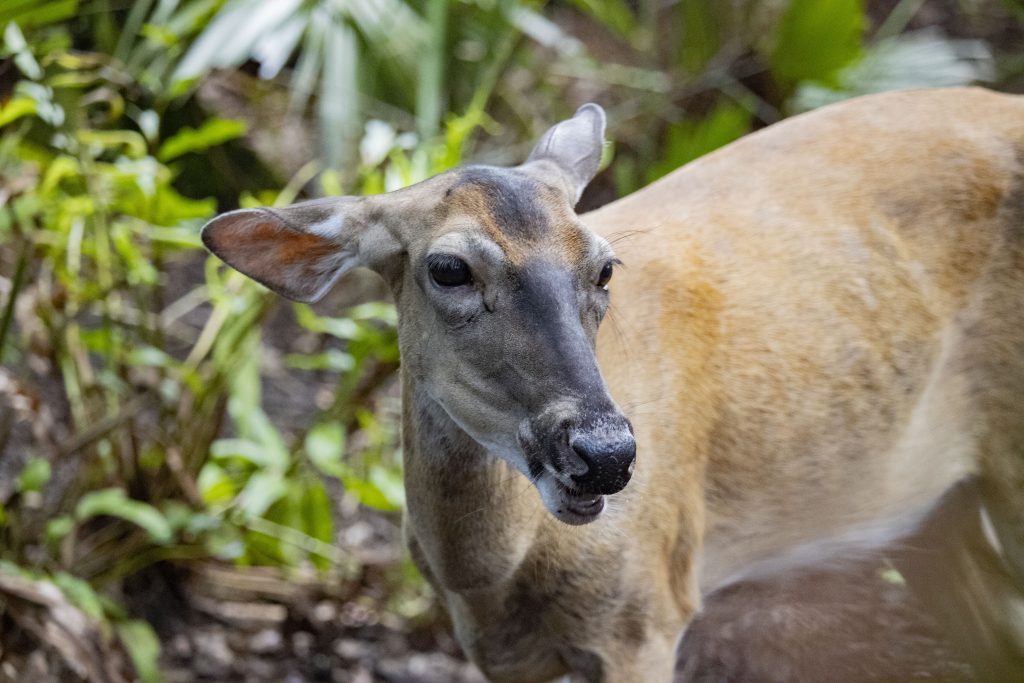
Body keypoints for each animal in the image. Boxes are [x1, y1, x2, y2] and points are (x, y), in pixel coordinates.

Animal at [199, 88, 1024, 679]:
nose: (605, 453)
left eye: (603, 266)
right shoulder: (501, 655)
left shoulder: (646, 616)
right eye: (449, 268)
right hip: (935, 511)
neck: (494, 573)